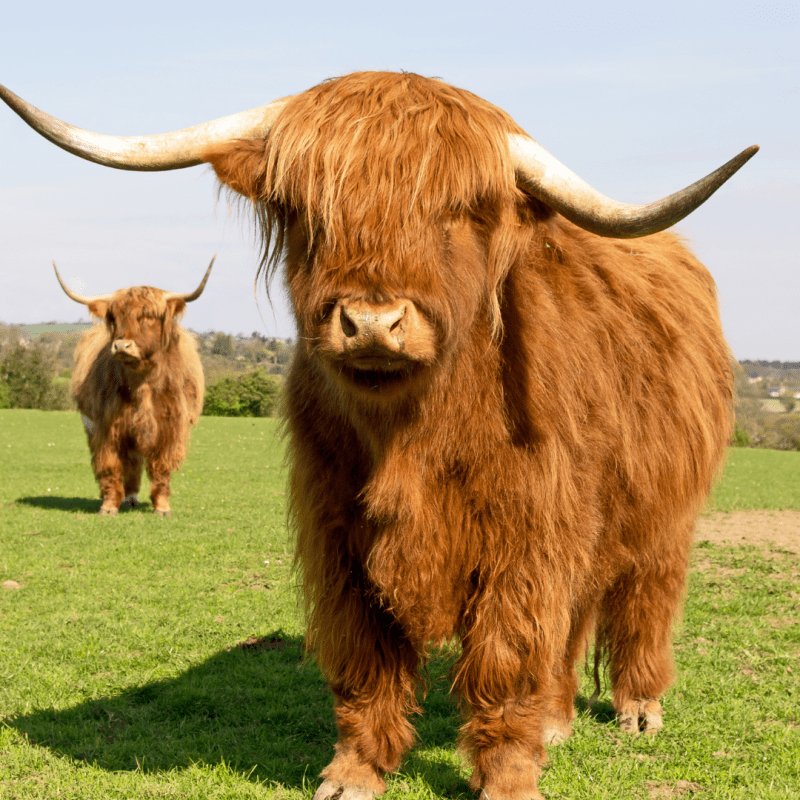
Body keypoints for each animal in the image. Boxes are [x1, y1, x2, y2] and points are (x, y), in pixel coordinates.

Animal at [53, 260, 213, 516]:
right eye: (115, 316)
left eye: (149, 316)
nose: (121, 346)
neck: (143, 382)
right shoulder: (107, 428)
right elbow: (110, 467)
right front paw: (109, 506)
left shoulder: (170, 427)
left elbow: (161, 468)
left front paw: (162, 507)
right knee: (128, 464)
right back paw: (127, 497)